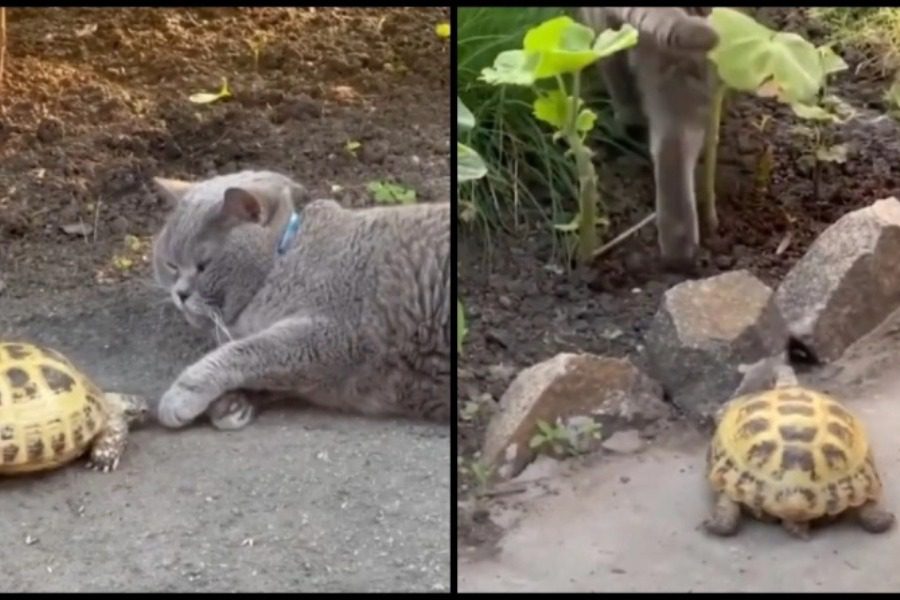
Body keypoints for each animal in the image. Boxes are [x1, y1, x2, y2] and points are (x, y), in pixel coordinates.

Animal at [150, 171, 454, 428]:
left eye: (204, 266)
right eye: (171, 265)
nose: (180, 293)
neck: (284, 256)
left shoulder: (331, 334)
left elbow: (245, 352)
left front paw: (184, 393)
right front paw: (232, 403)